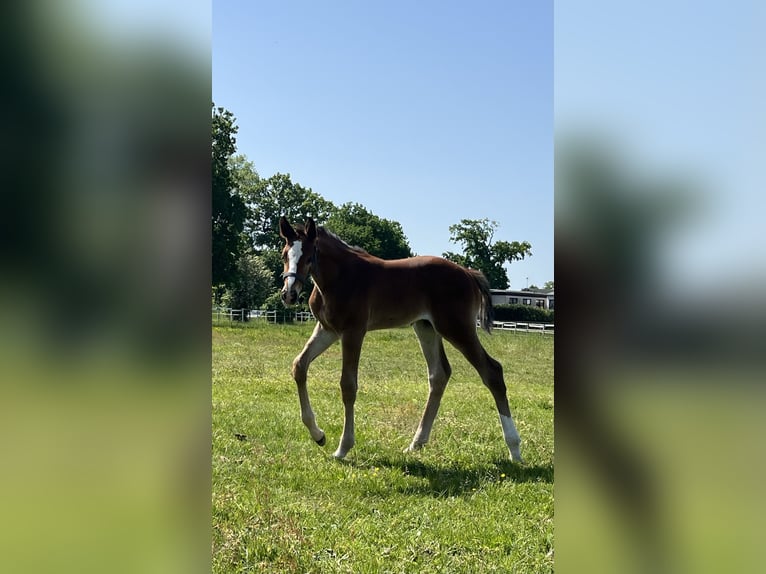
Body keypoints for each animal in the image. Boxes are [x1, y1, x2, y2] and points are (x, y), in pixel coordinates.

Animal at [278, 216, 524, 462]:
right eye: (284, 255)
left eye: (309, 257)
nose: (289, 294)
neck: (339, 278)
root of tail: (468, 272)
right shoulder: (327, 329)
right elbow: (299, 366)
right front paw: (318, 435)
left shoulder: (353, 332)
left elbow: (348, 385)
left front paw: (343, 448)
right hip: (426, 328)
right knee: (439, 375)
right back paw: (416, 443)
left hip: (457, 328)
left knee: (492, 371)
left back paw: (514, 449)